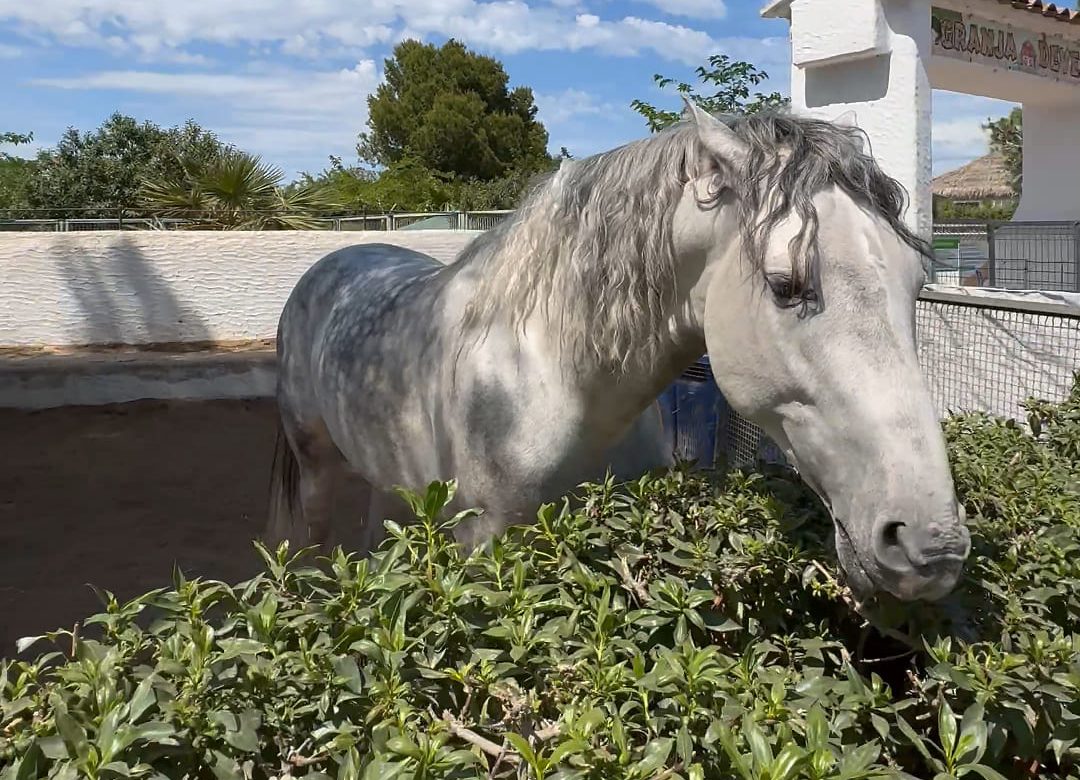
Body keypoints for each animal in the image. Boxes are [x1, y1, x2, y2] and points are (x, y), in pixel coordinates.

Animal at [266, 100, 971, 604]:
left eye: (916, 282)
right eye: (786, 285)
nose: (931, 544)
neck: (552, 386)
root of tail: (331, 264)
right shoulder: (485, 550)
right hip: (317, 469)